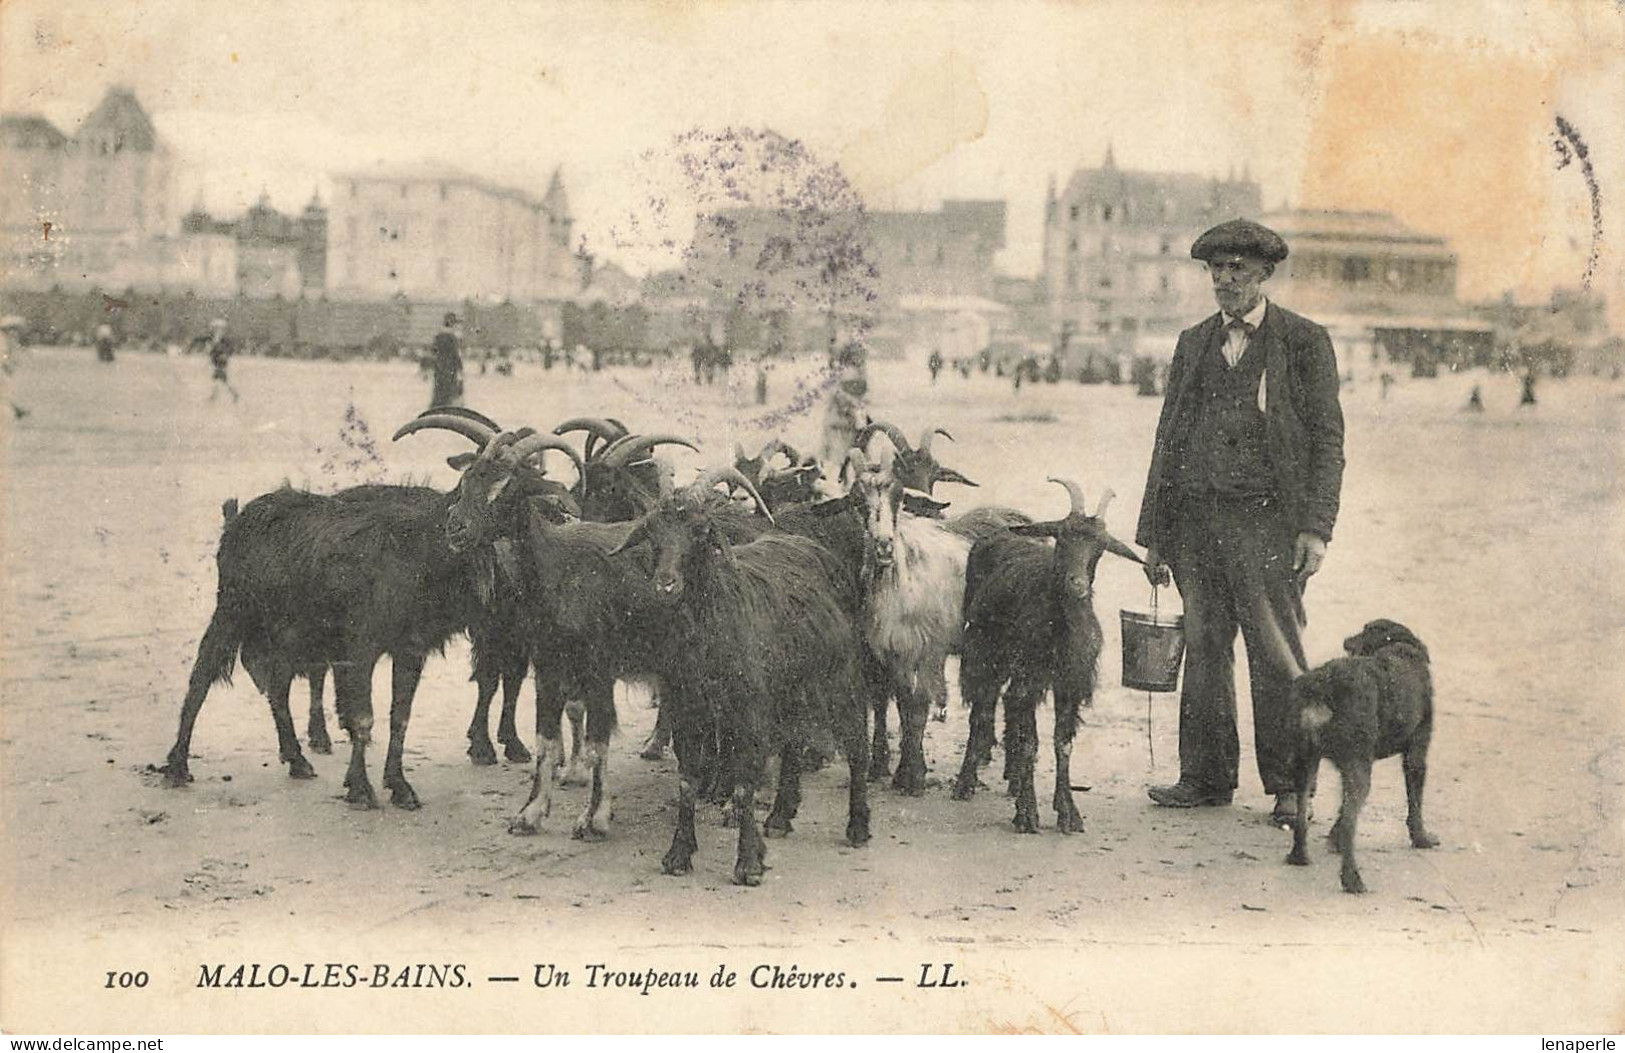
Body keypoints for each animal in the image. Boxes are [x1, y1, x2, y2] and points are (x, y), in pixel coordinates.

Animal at [611, 468, 871, 877]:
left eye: (700, 530)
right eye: (651, 529)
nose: (666, 584)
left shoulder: (749, 713)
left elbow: (745, 782)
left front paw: (748, 862)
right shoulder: (687, 710)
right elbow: (687, 780)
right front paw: (679, 853)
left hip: (840, 677)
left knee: (858, 743)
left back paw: (858, 826)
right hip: (790, 689)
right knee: (793, 744)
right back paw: (780, 816)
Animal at [949, 477, 1144, 832]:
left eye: (1100, 547)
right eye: (1061, 538)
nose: (1077, 584)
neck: (1059, 626)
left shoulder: (1069, 683)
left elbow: (1062, 743)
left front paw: (1068, 811)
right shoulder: (1029, 678)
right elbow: (1030, 742)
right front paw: (1027, 813)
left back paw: (1013, 779)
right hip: (982, 652)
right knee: (982, 711)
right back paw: (966, 783)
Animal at [1287, 620, 1443, 890]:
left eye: (1365, 629)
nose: (1347, 641)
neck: (1397, 646)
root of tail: (1323, 684)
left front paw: (1333, 840)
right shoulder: (1416, 755)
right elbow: (1415, 804)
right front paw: (1421, 838)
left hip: (1306, 762)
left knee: (1300, 811)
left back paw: (1299, 855)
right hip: (1358, 769)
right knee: (1351, 822)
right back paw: (1352, 879)